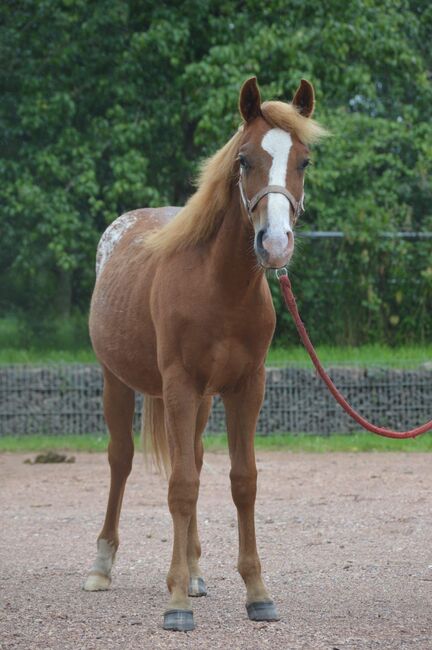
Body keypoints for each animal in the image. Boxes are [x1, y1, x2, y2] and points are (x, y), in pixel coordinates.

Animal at [84, 76, 326, 628]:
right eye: (244, 159)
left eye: (303, 161)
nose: (275, 244)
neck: (220, 287)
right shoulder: (179, 385)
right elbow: (181, 485)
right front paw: (174, 604)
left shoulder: (245, 387)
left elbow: (241, 481)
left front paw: (256, 592)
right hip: (116, 380)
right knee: (121, 460)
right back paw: (102, 567)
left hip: (201, 401)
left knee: (190, 455)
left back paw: (195, 573)